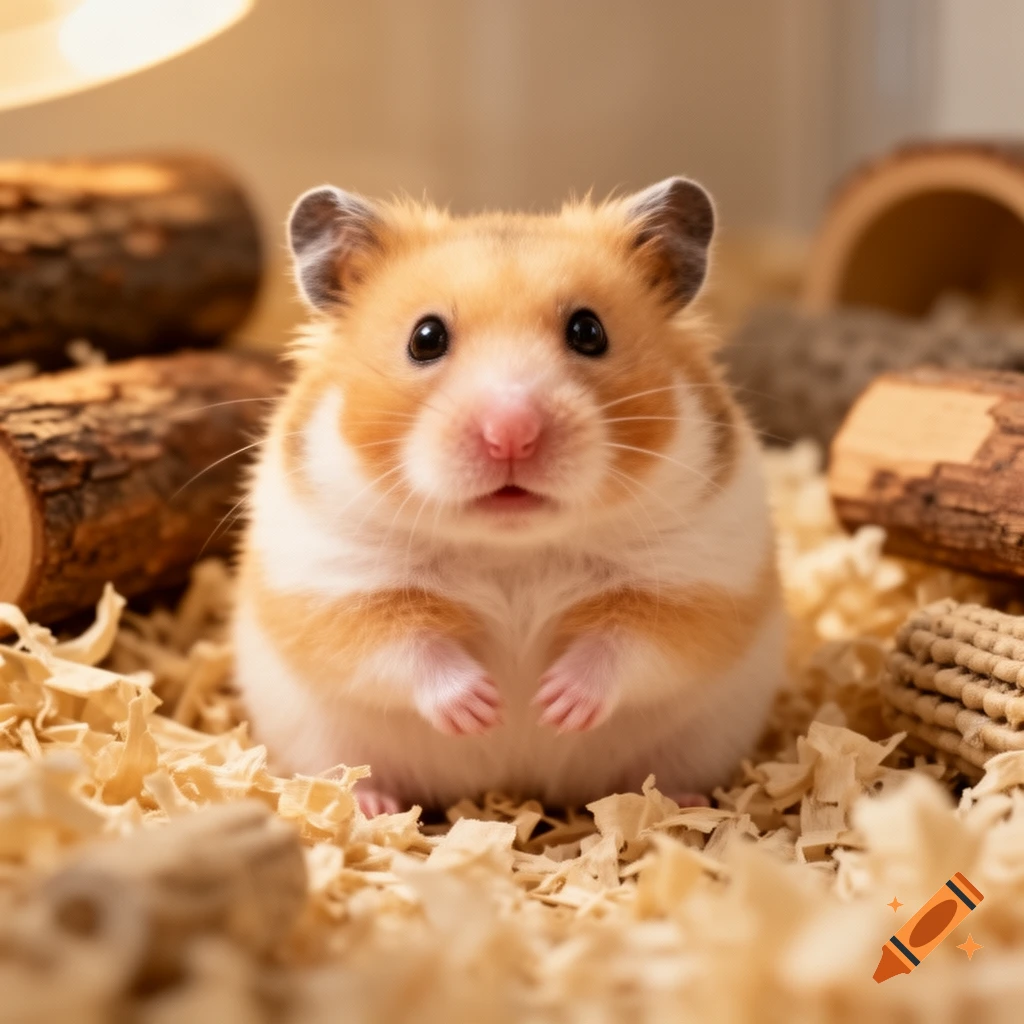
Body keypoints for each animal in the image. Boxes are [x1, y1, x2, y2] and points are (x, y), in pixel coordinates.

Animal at [232, 177, 787, 815]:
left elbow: (630, 642)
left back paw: (684, 802)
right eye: (425, 338)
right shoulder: (337, 582)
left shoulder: (695, 578)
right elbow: (402, 646)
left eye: (588, 331)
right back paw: (372, 806)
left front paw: (553, 705)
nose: (511, 434)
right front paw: (483, 709)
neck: (512, 550)